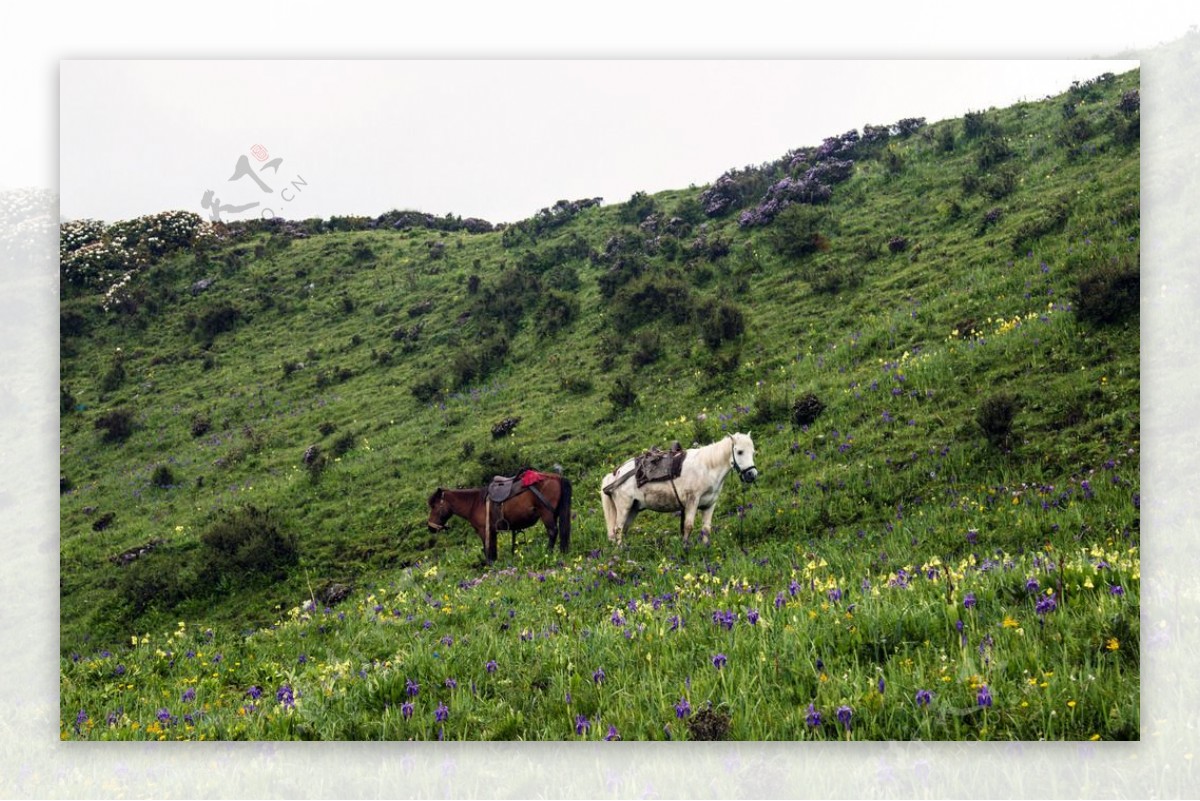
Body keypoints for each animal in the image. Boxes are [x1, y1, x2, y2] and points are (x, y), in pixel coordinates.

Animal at [427, 470, 571, 563]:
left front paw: (490, 566)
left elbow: (488, 550)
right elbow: (493, 549)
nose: (430, 527)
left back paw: (548, 553)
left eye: (434, 506)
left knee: (552, 532)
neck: (474, 503)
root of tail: (558, 477)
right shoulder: (492, 531)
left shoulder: (484, 531)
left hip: (546, 513)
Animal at [600, 431, 758, 551]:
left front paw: (706, 548)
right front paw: (685, 548)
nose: (752, 474)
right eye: (740, 452)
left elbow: (706, 529)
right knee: (618, 529)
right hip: (624, 507)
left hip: (633, 508)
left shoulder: (709, 505)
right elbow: (688, 526)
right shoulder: (692, 501)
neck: (707, 467)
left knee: (624, 530)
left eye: (753, 452)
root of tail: (615, 474)